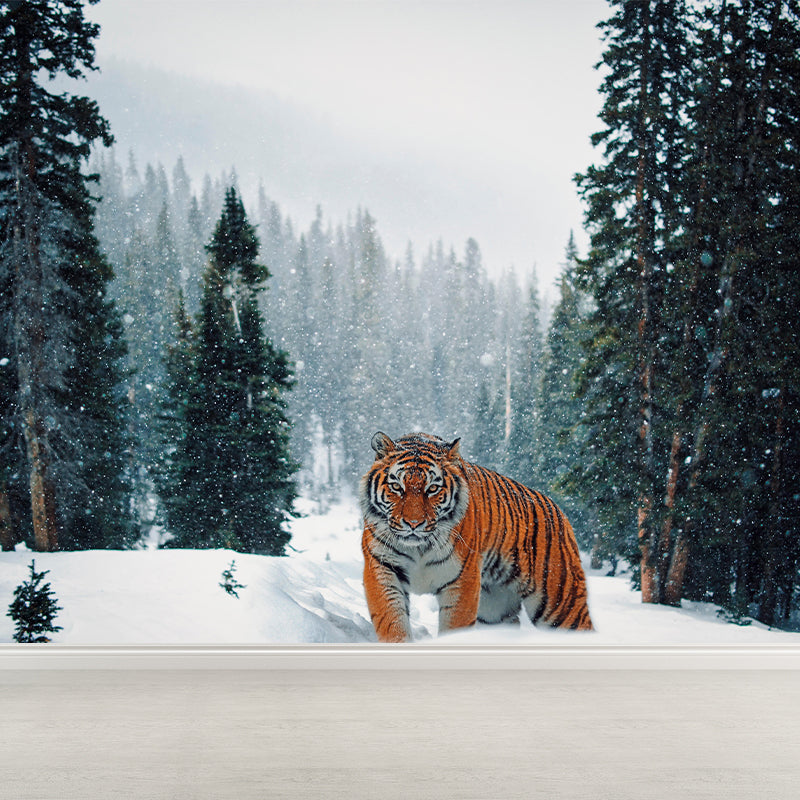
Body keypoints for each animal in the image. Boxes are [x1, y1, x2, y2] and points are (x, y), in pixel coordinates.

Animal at [360, 431, 593, 642]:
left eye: (432, 488)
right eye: (396, 487)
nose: (414, 524)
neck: (419, 548)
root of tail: (559, 510)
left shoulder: (462, 579)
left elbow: (455, 627)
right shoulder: (382, 568)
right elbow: (392, 621)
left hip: (560, 603)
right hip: (494, 608)